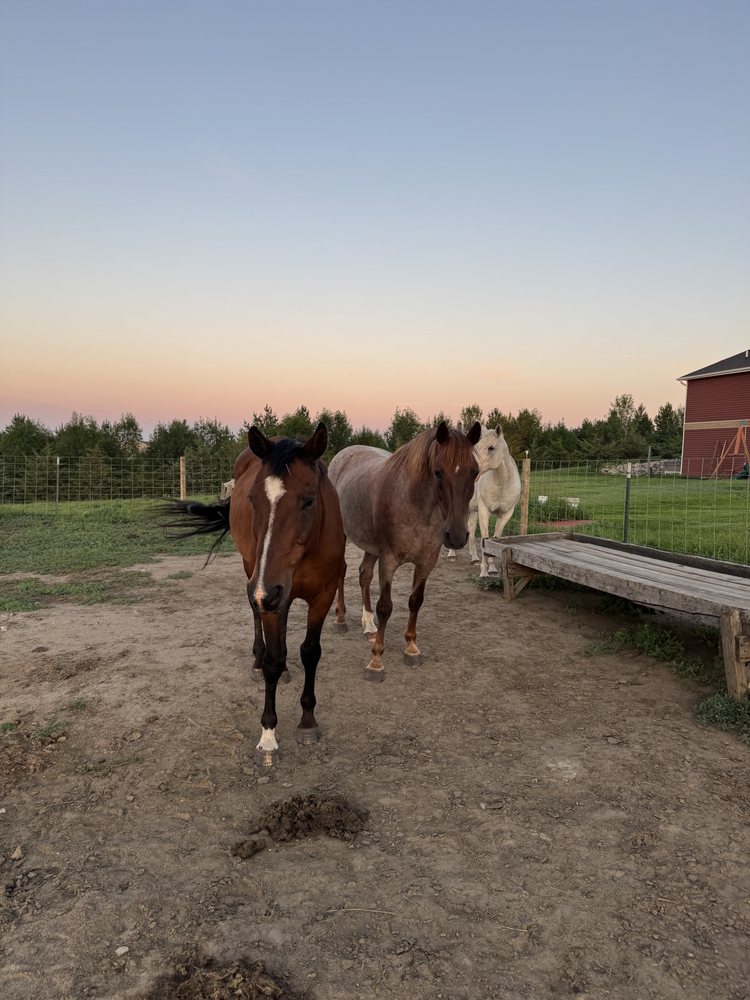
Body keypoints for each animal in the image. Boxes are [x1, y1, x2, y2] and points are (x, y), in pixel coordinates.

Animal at [164, 423, 346, 768]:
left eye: (308, 501)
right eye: (252, 499)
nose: (266, 590)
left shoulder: (323, 595)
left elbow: (310, 652)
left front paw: (307, 720)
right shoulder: (265, 588)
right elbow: (274, 659)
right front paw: (268, 734)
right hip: (253, 572)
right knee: (258, 621)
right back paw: (257, 660)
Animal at [328, 420, 481, 681]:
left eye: (474, 472)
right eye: (438, 472)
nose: (457, 536)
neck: (414, 505)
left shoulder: (426, 561)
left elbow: (415, 601)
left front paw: (411, 648)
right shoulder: (388, 559)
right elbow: (385, 607)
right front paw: (376, 661)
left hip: (371, 546)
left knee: (364, 574)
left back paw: (369, 625)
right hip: (343, 536)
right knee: (341, 572)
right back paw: (341, 619)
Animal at [446, 424, 521, 576]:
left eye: (491, 447)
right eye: (477, 446)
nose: (472, 471)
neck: (502, 484)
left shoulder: (506, 514)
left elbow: (494, 539)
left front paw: (492, 569)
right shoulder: (484, 511)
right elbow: (484, 539)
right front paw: (484, 571)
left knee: (470, 526)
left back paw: (474, 558)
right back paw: (451, 555)